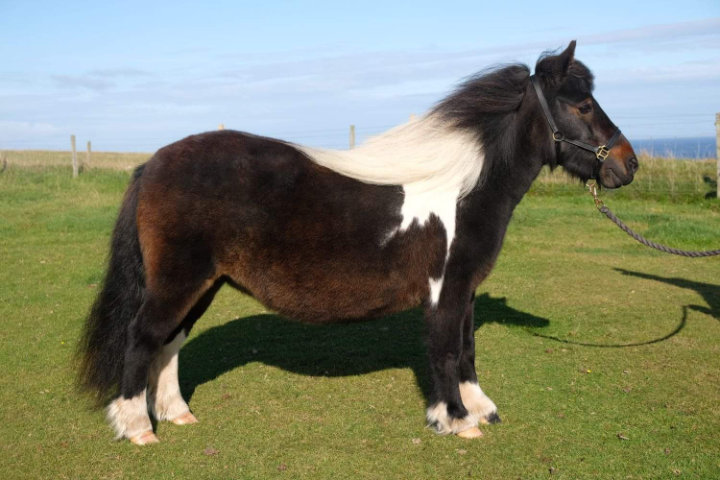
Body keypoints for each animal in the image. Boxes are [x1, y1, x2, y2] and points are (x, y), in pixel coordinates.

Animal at [79, 41, 640, 442]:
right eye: (583, 105)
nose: (628, 164)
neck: (461, 186)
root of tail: (154, 163)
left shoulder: (466, 289)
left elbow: (467, 347)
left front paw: (479, 409)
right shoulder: (446, 289)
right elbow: (445, 350)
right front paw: (456, 419)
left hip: (205, 283)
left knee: (170, 341)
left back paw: (176, 414)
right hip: (179, 280)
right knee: (142, 337)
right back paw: (138, 427)